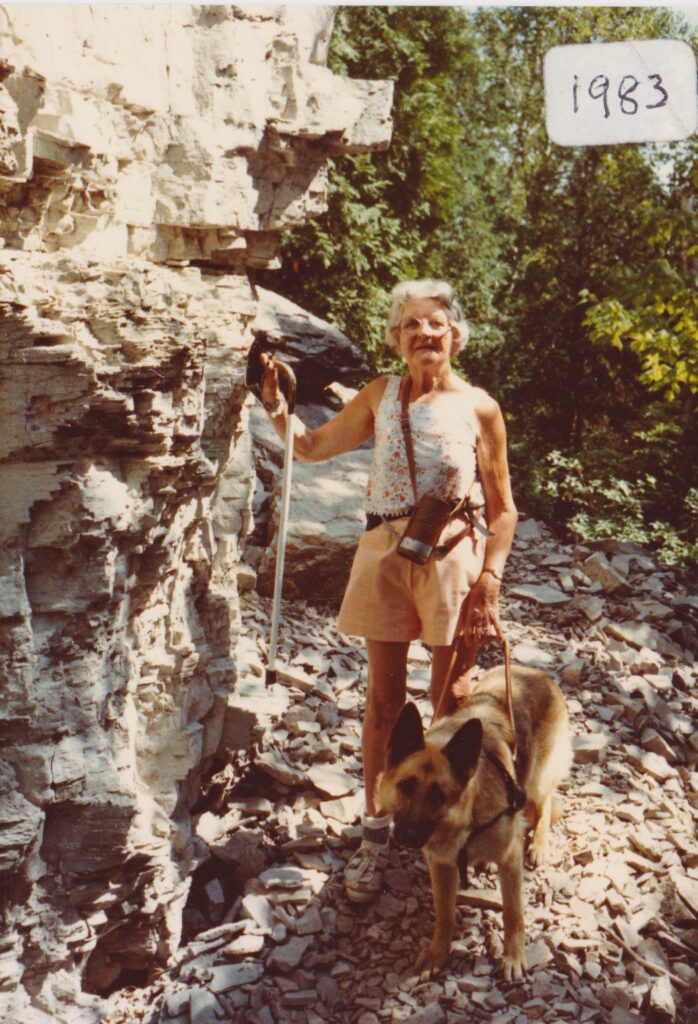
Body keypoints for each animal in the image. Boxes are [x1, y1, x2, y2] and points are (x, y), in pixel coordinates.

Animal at [378, 667, 569, 978]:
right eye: (406, 786)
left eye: (438, 796)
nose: (407, 836)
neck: (466, 820)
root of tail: (538, 673)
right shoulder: (441, 864)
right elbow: (444, 914)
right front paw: (437, 953)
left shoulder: (510, 856)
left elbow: (513, 912)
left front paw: (514, 956)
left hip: (538, 778)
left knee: (546, 803)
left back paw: (539, 844)